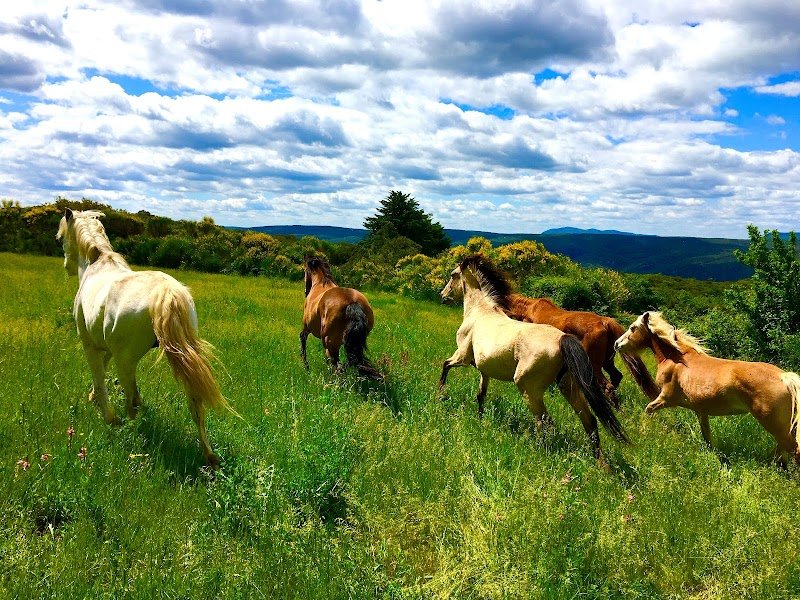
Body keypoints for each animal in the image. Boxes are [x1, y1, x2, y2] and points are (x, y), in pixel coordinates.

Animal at [57, 209, 234, 468]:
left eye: (60, 238)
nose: (66, 266)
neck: (97, 263)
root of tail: (167, 292)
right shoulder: (106, 346)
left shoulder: (89, 344)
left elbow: (99, 377)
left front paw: (107, 415)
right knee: (196, 405)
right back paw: (210, 456)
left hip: (126, 362)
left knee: (130, 401)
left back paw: (130, 432)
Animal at [439, 254, 628, 463]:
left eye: (453, 275)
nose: (442, 295)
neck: (480, 312)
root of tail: (562, 339)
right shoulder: (484, 370)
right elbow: (481, 395)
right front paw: (480, 419)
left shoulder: (462, 357)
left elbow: (445, 366)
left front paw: (440, 395)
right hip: (568, 385)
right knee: (590, 421)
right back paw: (601, 463)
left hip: (529, 388)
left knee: (545, 422)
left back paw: (539, 450)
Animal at [507, 295, 659, 406]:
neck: (528, 309)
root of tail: (606, 321)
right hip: (607, 361)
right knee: (616, 377)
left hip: (593, 364)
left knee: (607, 385)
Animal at [614, 311, 800, 465]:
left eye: (632, 328)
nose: (616, 344)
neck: (676, 360)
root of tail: (784, 377)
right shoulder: (700, 411)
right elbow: (707, 436)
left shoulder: (666, 398)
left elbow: (648, 410)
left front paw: (644, 431)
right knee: (782, 451)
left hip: (773, 424)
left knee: (793, 450)